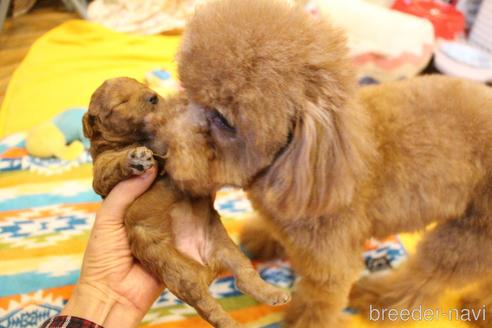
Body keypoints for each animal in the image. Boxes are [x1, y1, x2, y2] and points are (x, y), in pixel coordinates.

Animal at [82, 77, 290, 328]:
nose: (153, 97)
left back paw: (272, 293)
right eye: (120, 102)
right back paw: (231, 323)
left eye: (142, 86)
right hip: (180, 274)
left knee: (245, 276)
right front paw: (135, 158)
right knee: (209, 308)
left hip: (226, 247)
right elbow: (112, 165)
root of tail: (206, 266)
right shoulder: (102, 174)